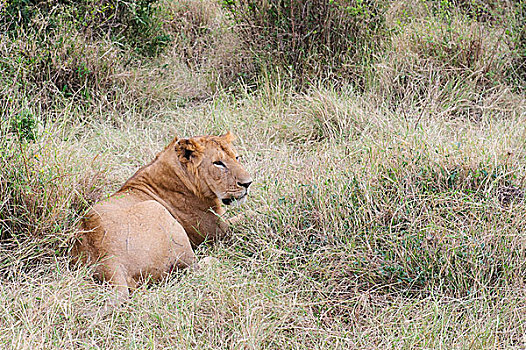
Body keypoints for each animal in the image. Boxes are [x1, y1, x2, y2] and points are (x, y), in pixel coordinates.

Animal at [72, 131, 254, 306]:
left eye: (236, 157)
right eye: (218, 163)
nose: (248, 183)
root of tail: (110, 263)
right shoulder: (218, 232)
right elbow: (246, 217)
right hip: (159, 211)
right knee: (192, 267)